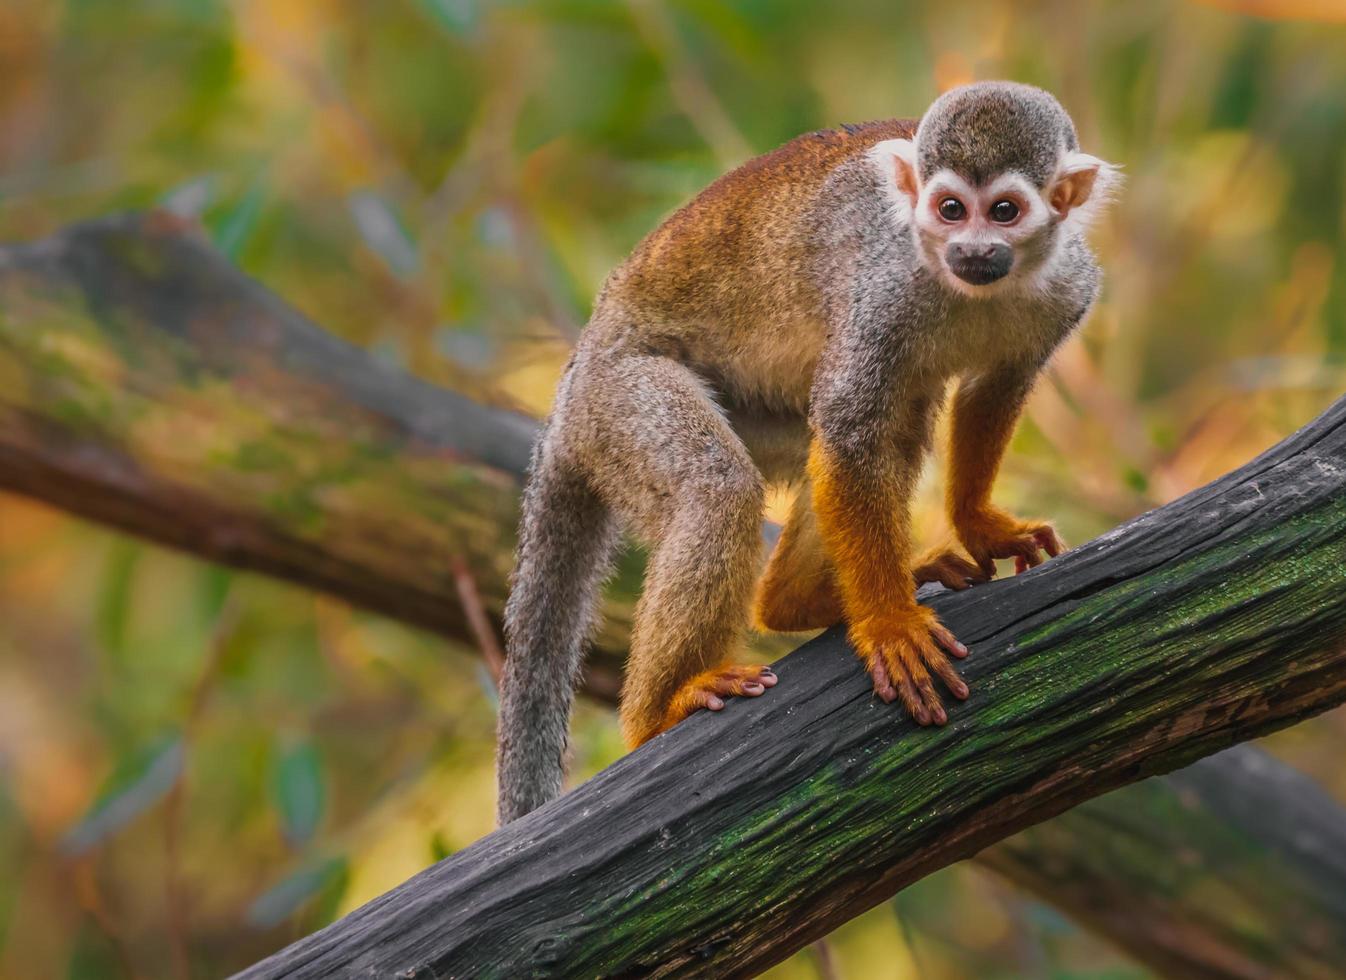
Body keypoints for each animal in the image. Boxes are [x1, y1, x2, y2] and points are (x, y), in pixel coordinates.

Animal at [495, 80, 1114, 823]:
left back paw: (796, 604)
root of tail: (571, 385)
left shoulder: (1068, 288)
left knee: (893, 429)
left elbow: (993, 390)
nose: (971, 248)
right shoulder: (884, 290)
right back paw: (659, 712)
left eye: (1004, 211)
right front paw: (888, 624)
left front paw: (979, 524)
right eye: (950, 209)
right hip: (616, 401)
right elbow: (850, 428)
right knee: (721, 484)